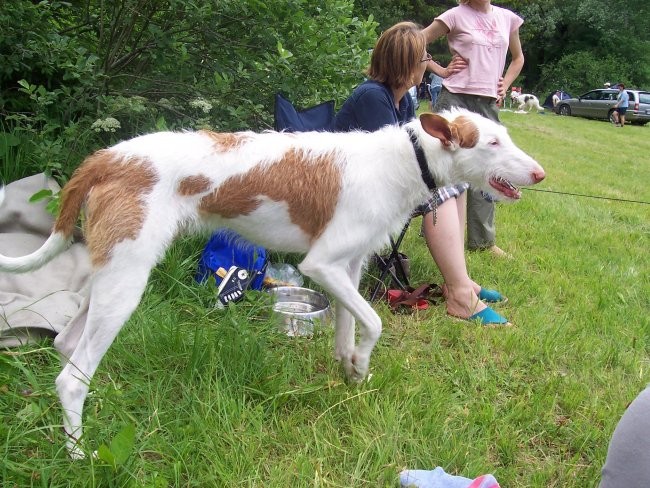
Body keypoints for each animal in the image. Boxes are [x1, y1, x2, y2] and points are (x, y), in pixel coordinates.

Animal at [0, 107, 544, 458]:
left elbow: (349, 327)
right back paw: (79, 456)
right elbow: (374, 323)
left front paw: (352, 371)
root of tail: (107, 156)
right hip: (126, 282)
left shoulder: (348, 268)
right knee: (71, 379)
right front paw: (362, 364)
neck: (404, 159)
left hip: (110, 272)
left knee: (67, 345)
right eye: (492, 142)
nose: (540, 173)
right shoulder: (321, 265)